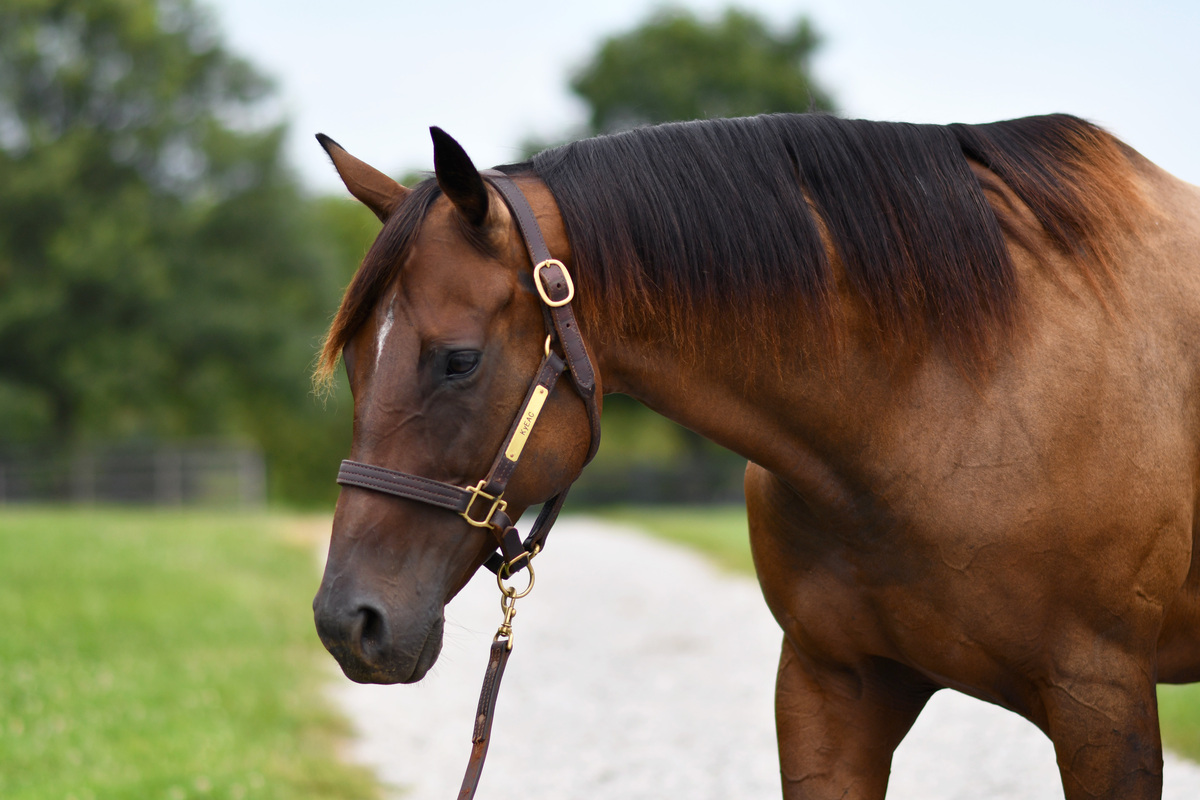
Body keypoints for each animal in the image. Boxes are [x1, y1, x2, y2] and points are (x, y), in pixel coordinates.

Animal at [310, 112, 1200, 800]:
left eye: (458, 360)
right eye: (353, 361)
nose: (348, 621)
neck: (949, 396)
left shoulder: (1101, 706)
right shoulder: (828, 690)